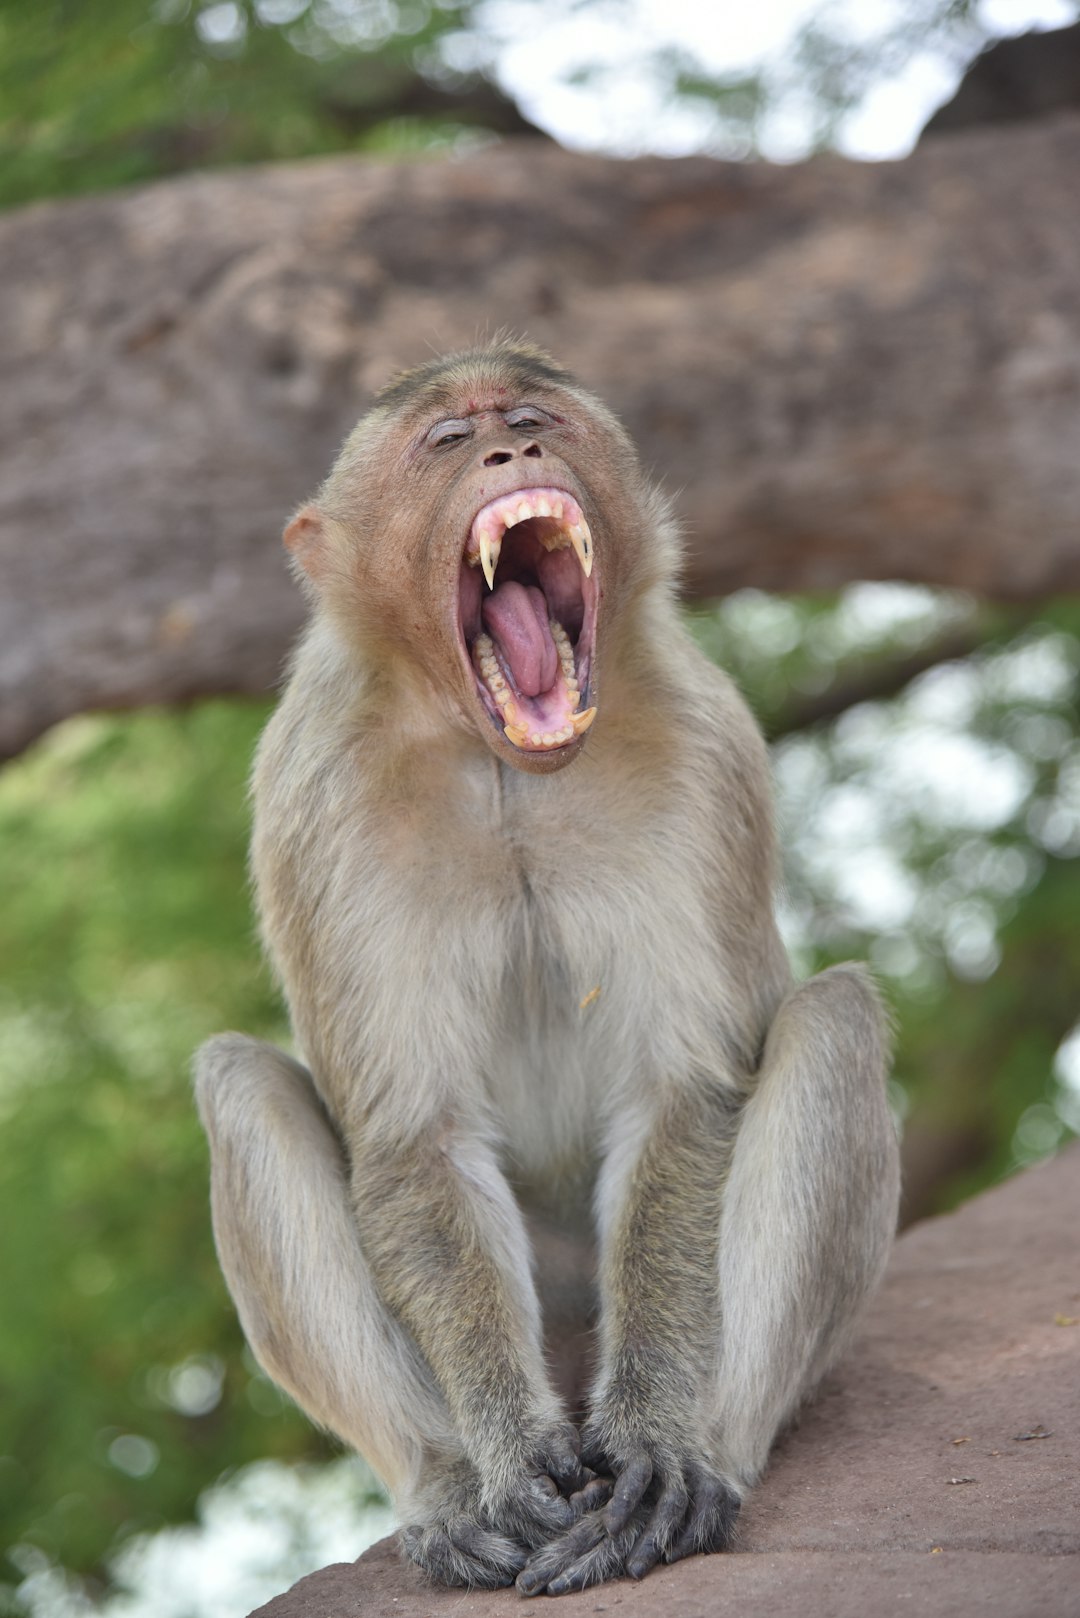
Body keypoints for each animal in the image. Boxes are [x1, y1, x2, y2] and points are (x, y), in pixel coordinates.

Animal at [196, 341, 906, 1592]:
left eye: (533, 416)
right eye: (446, 440)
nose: (509, 450)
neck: (501, 761)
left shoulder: (702, 747)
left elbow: (684, 1091)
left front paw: (658, 1438)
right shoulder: (314, 792)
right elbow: (414, 1136)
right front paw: (512, 1454)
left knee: (834, 1019)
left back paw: (708, 1459)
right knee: (242, 1085)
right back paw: (445, 1489)